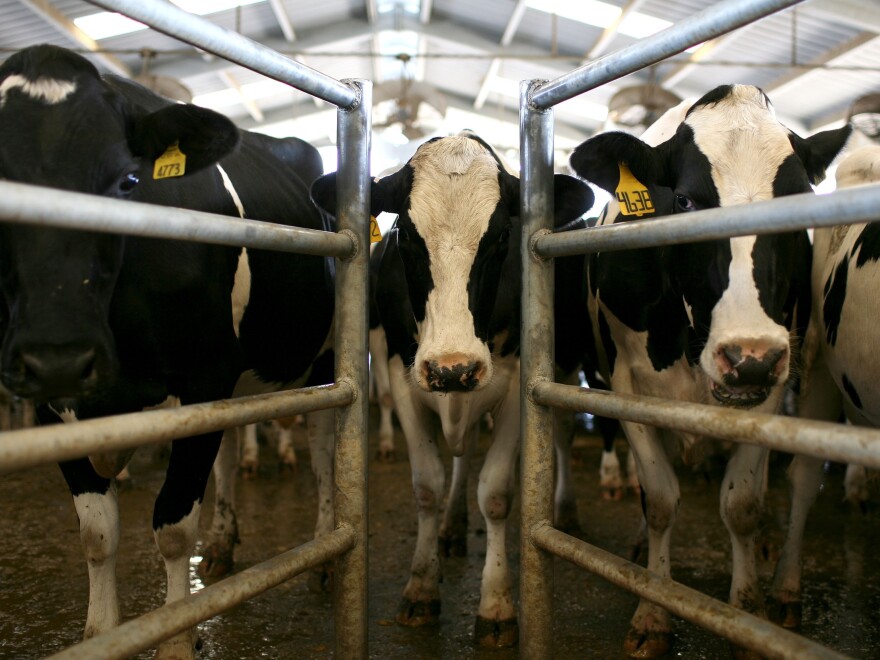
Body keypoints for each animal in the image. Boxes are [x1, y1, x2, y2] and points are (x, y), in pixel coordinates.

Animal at [0, 43, 336, 656]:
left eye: (129, 180)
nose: (59, 354)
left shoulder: (202, 376)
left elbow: (174, 529)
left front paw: (178, 637)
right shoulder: (47, 405)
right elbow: (97, 531)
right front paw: (102, 633)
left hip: (322, 361)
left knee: (324, 446)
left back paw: (324, 551)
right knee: (230, 448)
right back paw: (224, 543)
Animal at [310, 131, 592, 648]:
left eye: (500, 237)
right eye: (406, 235)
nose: (452, 368)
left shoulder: (516, 383)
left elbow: (496, 493)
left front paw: (497, 606)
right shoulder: (403, 374)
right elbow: (427, 485)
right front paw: (421, 588)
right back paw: (450, 526)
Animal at [568, 85, 848, 656]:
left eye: (796, 199)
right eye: (685, 202)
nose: (749, 356)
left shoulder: (772, 388)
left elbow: (741, 504)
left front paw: (747, 617)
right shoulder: (625, 385)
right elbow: (660, 500)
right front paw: (653, 611)